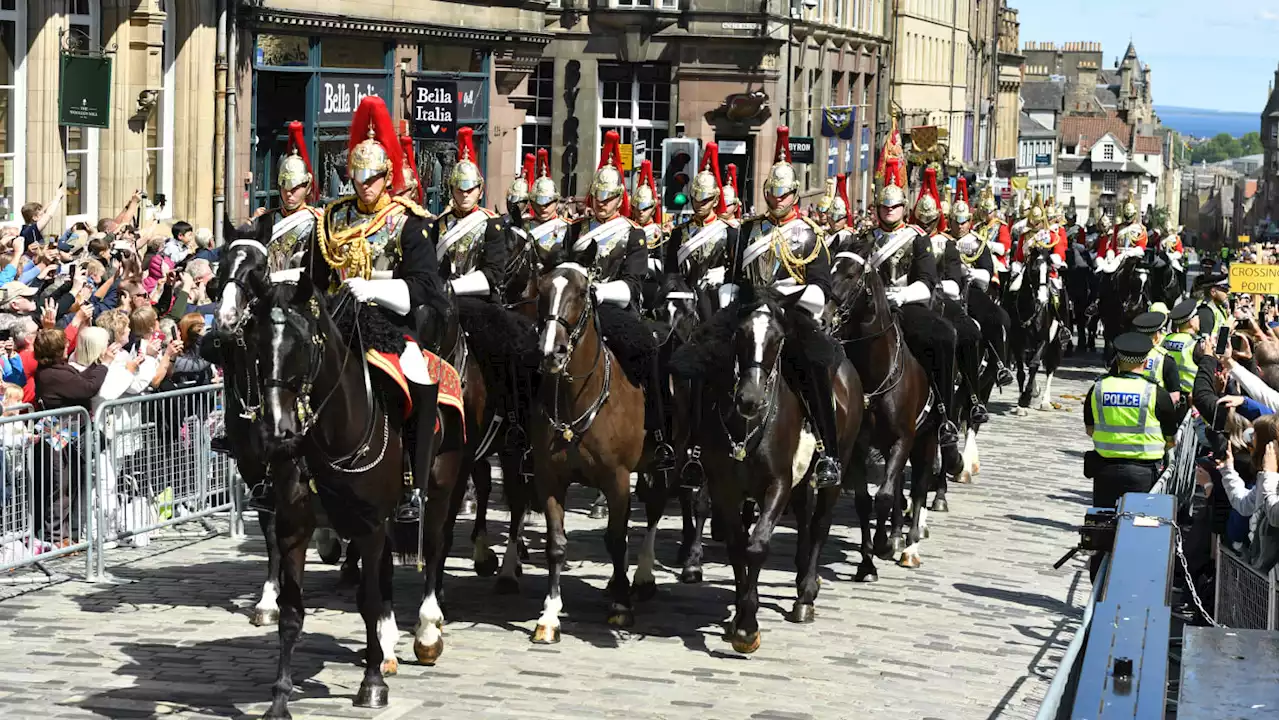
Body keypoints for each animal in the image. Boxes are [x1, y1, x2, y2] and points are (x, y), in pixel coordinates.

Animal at [691, 292, 860, 650]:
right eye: (739, 334)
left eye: (778, 338)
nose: (750, 399)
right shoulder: (725, 488)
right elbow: (737, 547)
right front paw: (740, 616)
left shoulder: (777, 484)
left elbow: (756, 547)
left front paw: (747, 628)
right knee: (805, 518)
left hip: (833, 470)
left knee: (820, 524)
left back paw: (806, 594)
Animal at [829, 251, 942, 571]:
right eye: (831, 268)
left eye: (851, 274)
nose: (824, 317)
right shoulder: (858, 445)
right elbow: (865, 501)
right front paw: (867, 562)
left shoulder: (903, 439)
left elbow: (885, 496)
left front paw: (881, 547)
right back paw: (895, 536)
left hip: (926, 440)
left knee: (918, 487)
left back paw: (910, 544)